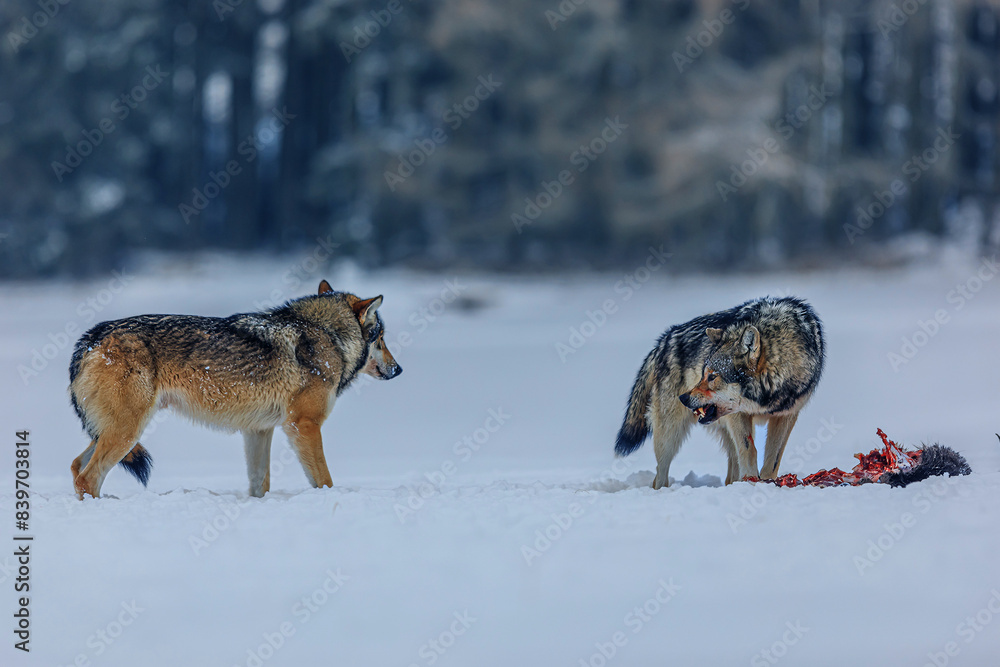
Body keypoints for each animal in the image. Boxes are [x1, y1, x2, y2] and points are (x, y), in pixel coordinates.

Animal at [68, 280, 401, 499]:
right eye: (381, 337)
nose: (398, 369)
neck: (327, 334)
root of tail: (90, 338)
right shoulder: (304, 425)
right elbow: (324, 480)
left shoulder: (259, 430)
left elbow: (259, 485)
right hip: (127, 432)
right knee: (88, 477)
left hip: (112, 432)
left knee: (75, 466)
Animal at [614, 297, 824, 489]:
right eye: (703, 374)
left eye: (712, 377)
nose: (683, 398)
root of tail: (665, 339)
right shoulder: (738, 414)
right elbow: (749, 450)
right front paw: (752, 482)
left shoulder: (786, 415)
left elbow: (772, 459)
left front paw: (766, 482)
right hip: (669, 436)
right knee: (660, 475)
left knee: (730, 475)